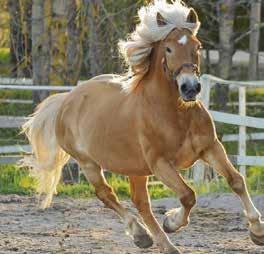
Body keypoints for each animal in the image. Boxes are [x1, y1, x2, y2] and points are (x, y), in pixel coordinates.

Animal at [22, 0, 264, 253]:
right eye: (168, 49)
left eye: (197, 47)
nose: (190, 88)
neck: (175, 113)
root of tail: (66, 100)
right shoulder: (160, 163)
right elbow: (188, 195)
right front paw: (172, 221)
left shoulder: (210, 148)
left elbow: (236, 181)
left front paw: (257, 231)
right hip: (89, 163)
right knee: (107, 195)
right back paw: (142, 235)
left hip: (134, 168)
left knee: (141, 203)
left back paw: (161, 243)